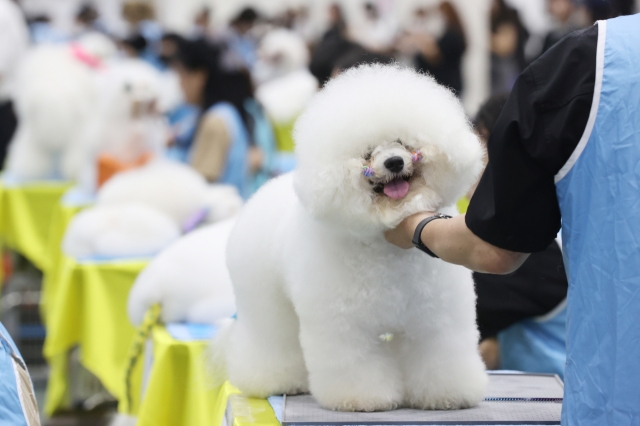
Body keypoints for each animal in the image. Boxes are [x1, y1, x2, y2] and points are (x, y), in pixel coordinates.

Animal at [212, 64, 488, 412]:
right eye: (368, 153)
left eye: (401, 142)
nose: (394, 162)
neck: (384, 245)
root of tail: (262, 193)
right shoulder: (344, 325)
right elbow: (354, 363)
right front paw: (362, 398)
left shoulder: (437, 317)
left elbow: (438, 354)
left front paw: (447, 394)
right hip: (264, 303)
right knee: (271, 339)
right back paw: (275, 380)